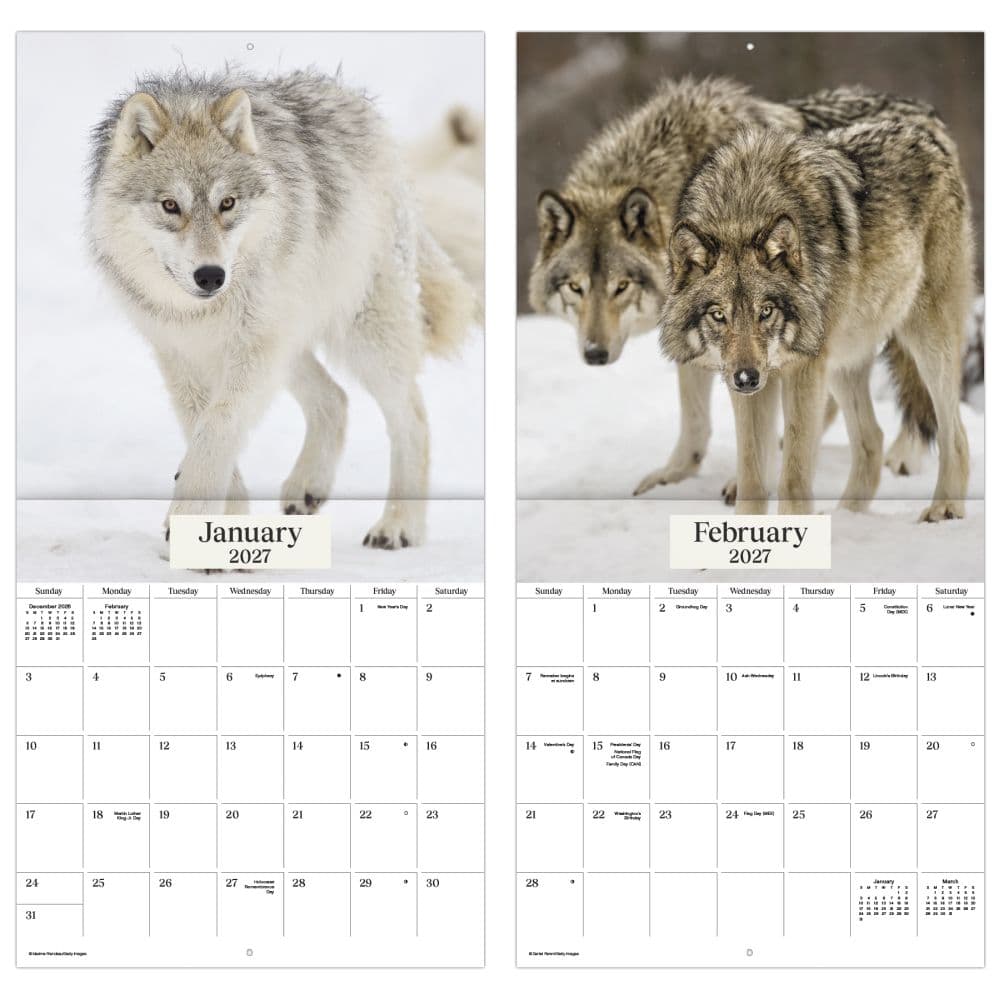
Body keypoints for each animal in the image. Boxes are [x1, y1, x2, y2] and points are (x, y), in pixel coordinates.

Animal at [88, 69, 476, 550]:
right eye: (170, 206)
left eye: (227, 204)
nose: (211, 276)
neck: (201, 313)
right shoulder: (180, 355)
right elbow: (203, 429)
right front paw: (221, 525)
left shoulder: (252, 350)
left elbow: (217, 429)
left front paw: (193, 515)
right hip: (289, 341)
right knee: (335, 397)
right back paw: (310, 485)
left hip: (358, 336)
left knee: (412, 416)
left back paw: (399, 525)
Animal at [528, 78, 940, 497]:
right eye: (575, 287)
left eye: (621, 286)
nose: (594, 354)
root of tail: (926, 114)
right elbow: (695, 416)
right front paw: (674, 474)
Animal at [659, 117, 972, 522]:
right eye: (719, 315)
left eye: (766, 311)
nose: (747, 378)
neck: (743, 211)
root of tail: (925, 129)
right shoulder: (752, 385)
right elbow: (752, 473)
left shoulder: (803, 369)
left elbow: (793, 473)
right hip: (841, 360)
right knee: (872, 439)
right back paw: (847, 516)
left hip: (926, 343)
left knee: (956, 434)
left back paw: (944, 508)